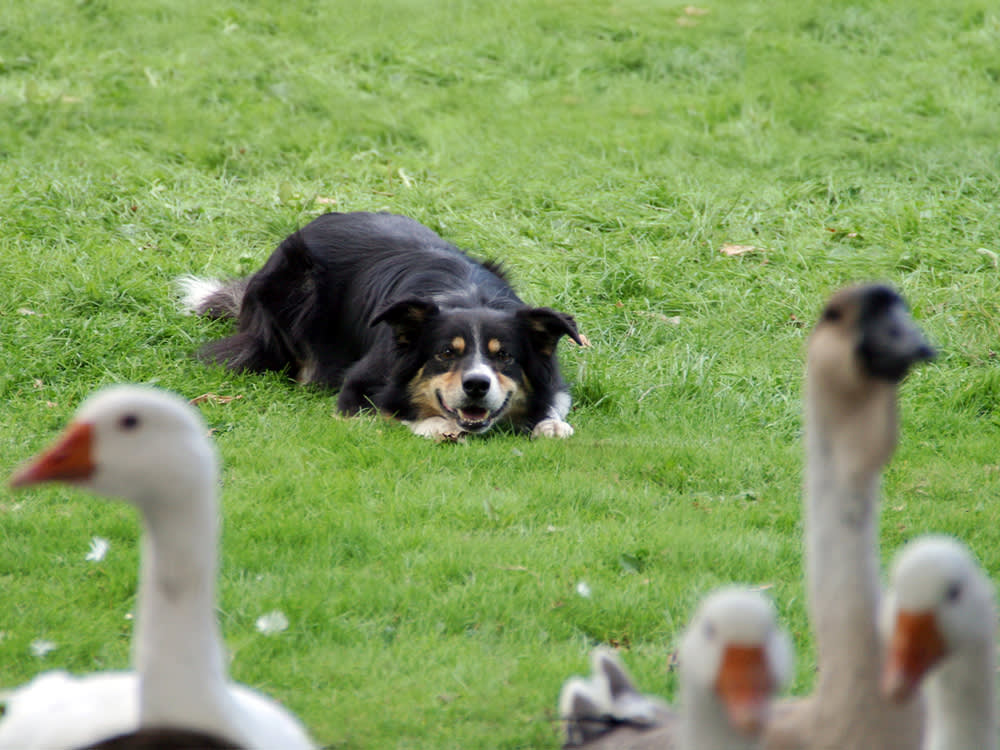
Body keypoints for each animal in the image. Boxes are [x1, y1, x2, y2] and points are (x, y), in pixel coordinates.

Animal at [181, 212, 584, 440]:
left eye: (505, 358)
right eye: (444, 354)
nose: (476, 386)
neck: (471, 298)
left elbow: (555, 404)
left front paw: (550, 425)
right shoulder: (358, 387)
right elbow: (391, 412)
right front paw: (440, 426)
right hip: (296, 290)